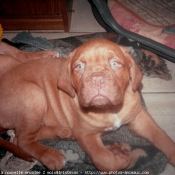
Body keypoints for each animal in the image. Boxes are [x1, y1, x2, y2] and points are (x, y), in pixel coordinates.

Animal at [0, 39, 175, 171]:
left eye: (115, 64)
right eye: (79, 67)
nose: (97, 79)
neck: (109, 109)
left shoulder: (139, 116)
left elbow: (160, 136)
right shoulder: (86, 136)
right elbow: (104, 160)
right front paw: (122, 156)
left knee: (21, 136)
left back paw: (64, 132)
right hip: (34, 94)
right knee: (22, 140)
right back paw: (51, 156)